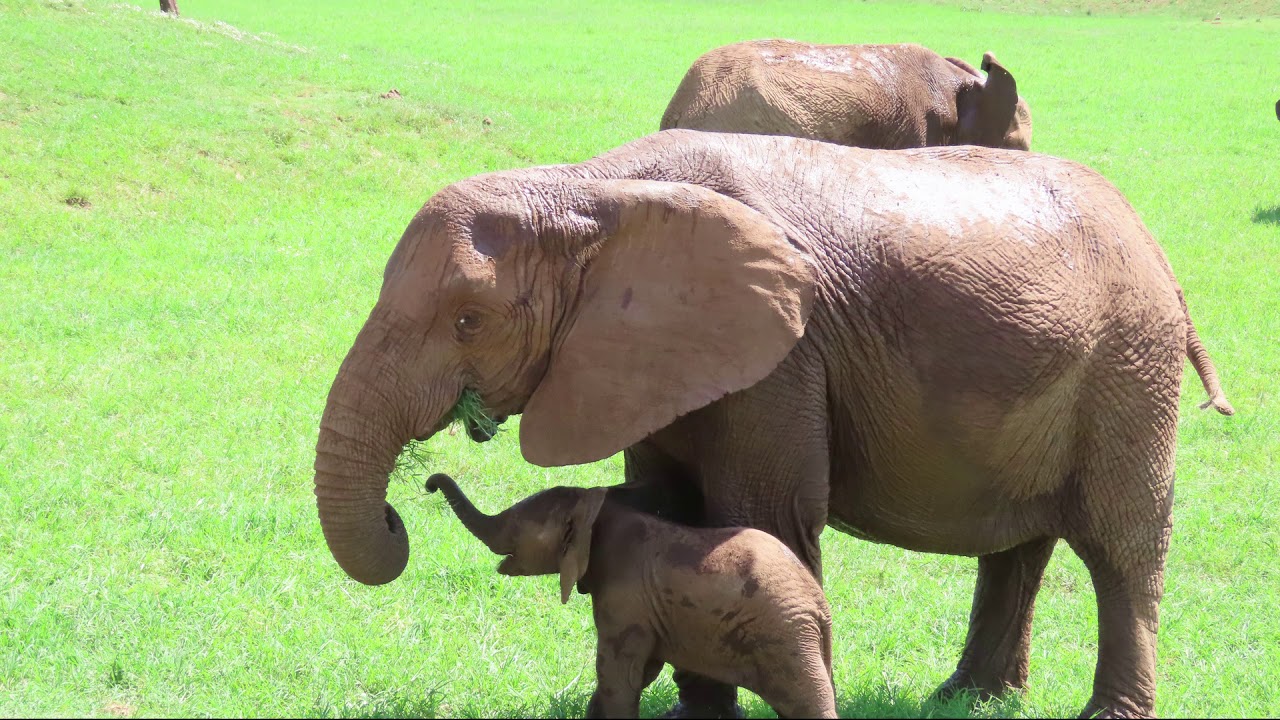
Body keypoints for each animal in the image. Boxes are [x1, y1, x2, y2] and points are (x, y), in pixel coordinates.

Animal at [424, 473, 837, 719]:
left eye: (514, 529)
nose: (429, 484)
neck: (599, 513)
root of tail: (818, 605)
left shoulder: (624, 600)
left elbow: (619, 673)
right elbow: (639, 671)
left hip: (784, 637)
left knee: (809, 701)